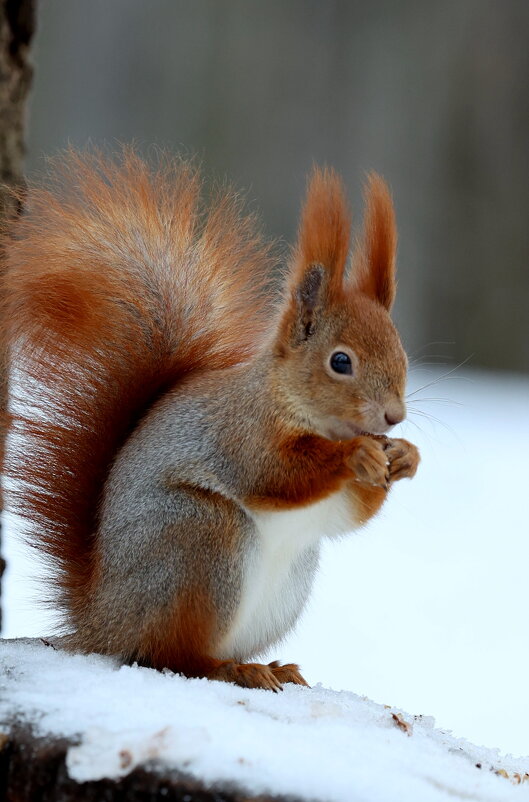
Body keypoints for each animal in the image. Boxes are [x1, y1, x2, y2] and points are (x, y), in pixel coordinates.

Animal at [2, 148, 418, 688]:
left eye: (402, 353)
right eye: (340, 361)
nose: (394, 416)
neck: (290, 403)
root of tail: (103, 621)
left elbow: (351, 513)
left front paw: (405, 457)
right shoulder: (240, 433)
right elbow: (278, 474)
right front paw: (356, 454)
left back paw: (272, 666)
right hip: (200, 543)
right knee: (167, 655)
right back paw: (232, 670)